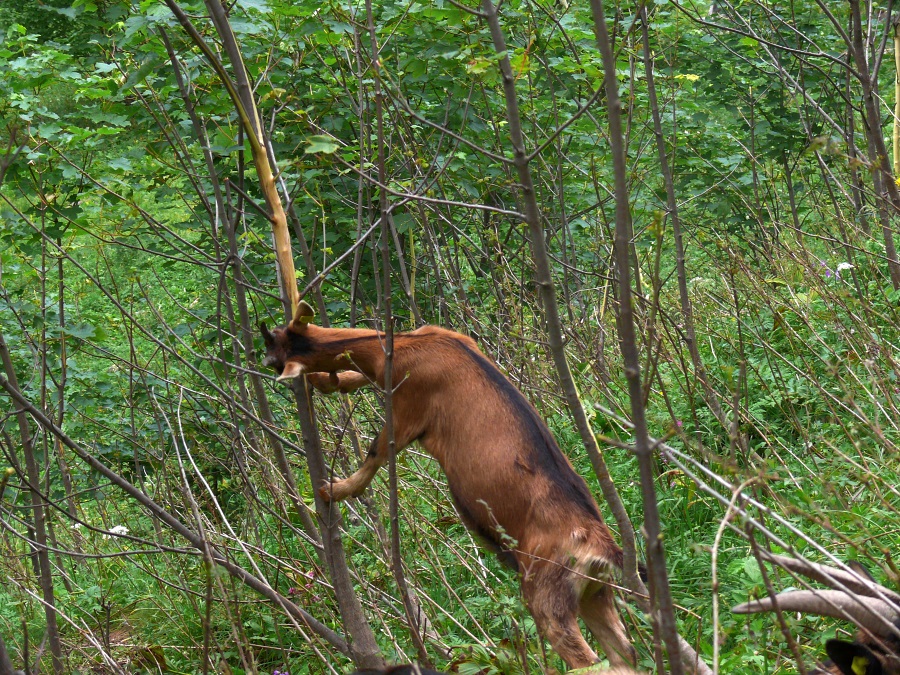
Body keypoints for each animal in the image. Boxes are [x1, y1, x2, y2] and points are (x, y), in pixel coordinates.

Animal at [260, 304, 636, 672]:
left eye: (275, 352)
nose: (262, 360)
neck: (412, 343)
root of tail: (601, 548)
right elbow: (357, 380)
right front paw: (324, 381)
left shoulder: (409, 406)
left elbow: (377, 451)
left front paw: (334, 490)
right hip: (595, 594)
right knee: (623, 656)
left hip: (547, 594)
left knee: (588, 660)